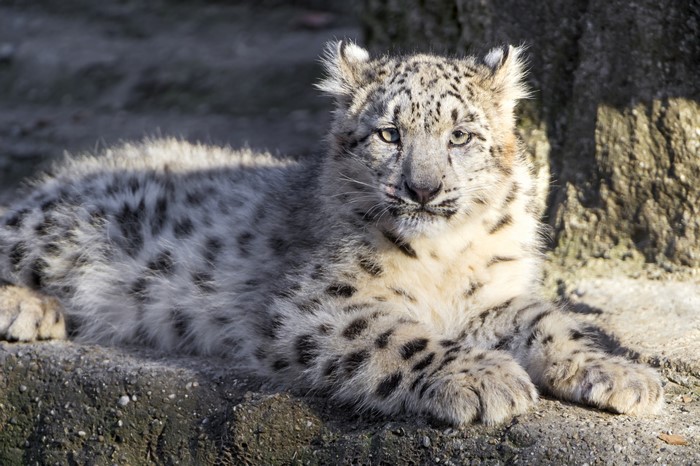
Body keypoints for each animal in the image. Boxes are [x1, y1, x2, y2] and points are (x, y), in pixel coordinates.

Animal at [0, 41, 663, 426]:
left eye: (460, 136)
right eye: (389, 133)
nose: (423, 189)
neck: (446, 258)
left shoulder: (492, 298)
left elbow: (549, 320)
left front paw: (620, 374)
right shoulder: (318, 303)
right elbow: (401, 338)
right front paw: (487, 379)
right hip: (56, 230)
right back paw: (30, 309)